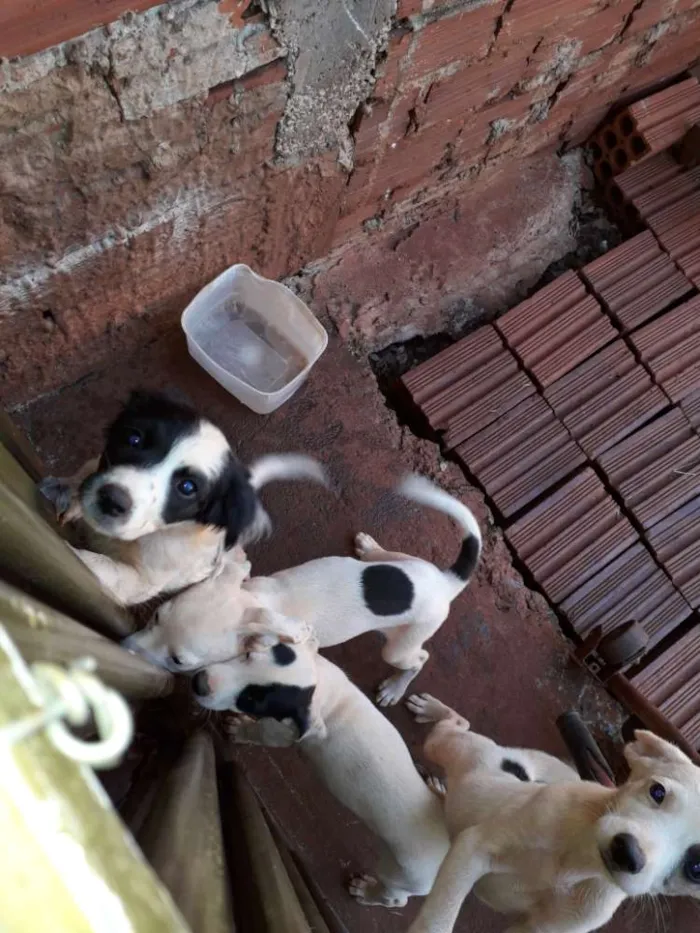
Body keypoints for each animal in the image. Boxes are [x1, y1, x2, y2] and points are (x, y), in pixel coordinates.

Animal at [41, 390, 328, 608]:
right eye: (133, 438)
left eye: (188, 487)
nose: (111, 500)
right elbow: (85, 473)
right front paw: (66, 490)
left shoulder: (140, 582)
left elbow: (99, 566)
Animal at [123, 476, 482, 704]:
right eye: (156, 617)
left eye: (178, 661)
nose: (122, 647)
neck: (258, 602)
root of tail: (445, 583)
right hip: (405, 561)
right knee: (387, 557)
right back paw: (370, 548)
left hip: (403, 643)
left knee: (418, 659)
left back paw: (396, 688)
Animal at [191, 608, 452, 908]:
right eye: (246, 655)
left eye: (251, 700)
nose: (198, 683)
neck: (320, 691)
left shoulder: (280, 733)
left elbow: (260, 731)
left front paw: (241, 729)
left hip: (400, 874)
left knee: (394, 900)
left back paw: (367, 892)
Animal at [402, 692, 700, 932]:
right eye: (657, 791)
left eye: (696, 869)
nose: (627, 852)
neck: (576, 862)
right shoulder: (472, 848)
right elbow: (437, 920)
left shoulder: (541, 928)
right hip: (447, 746)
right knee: (454, 722)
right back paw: (432, 709)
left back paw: (438, 787)